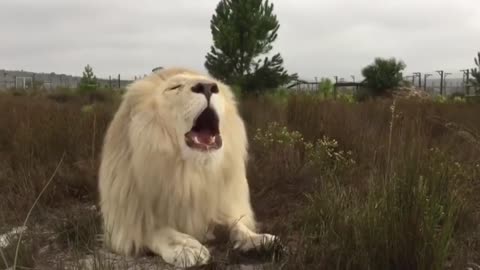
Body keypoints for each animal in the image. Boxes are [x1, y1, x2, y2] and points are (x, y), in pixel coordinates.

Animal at [98, 66, 278, 266]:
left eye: (215, 87)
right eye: (174, 87)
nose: (207, 87)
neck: (192, 173)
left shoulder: (218, 206)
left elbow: (236, 223)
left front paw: (257, 239)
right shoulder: (126, 220)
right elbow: (157, 230)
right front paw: (186, 248)